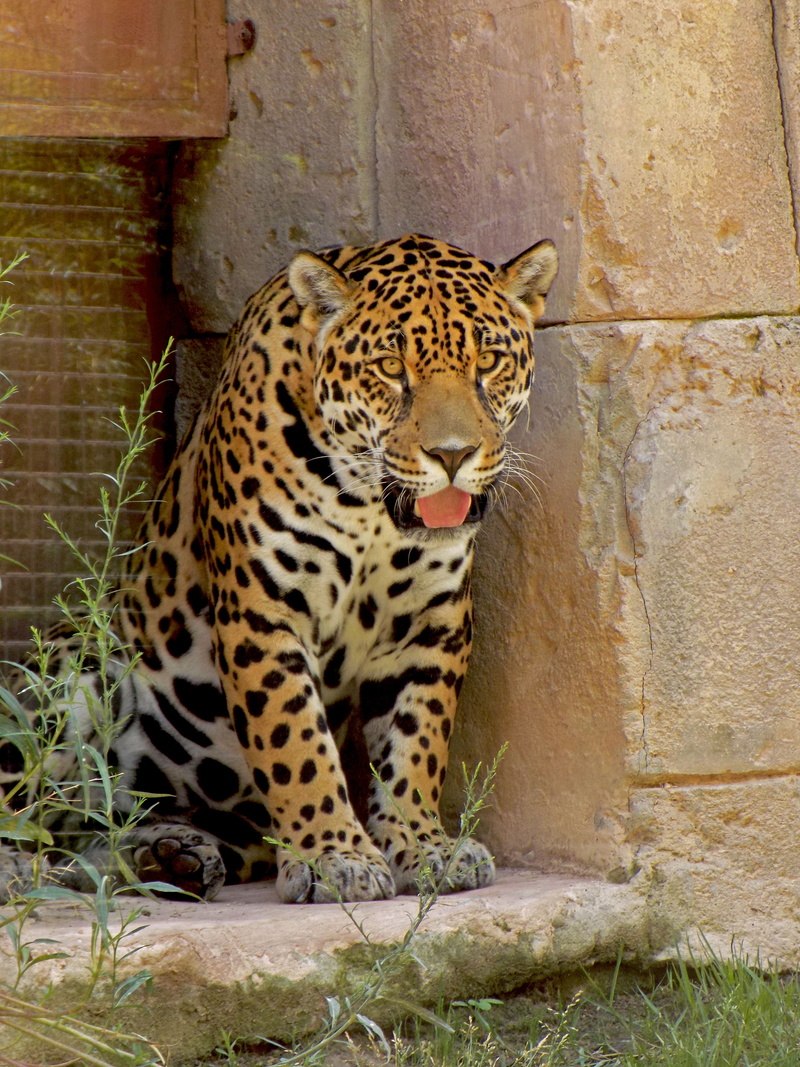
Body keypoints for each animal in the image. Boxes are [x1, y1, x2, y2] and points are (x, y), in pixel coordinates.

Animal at [0, 234, 558, 904]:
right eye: (390, 368)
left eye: (489, 362)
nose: (453, 456)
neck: (370, 507)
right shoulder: (262, 613)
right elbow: (297, 744)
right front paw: (334, 857)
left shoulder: (431, 623)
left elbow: (416, 745)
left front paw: (425, 846)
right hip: (69, 669)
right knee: (35, 815)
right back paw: (21, 867)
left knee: (84, 839)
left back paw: (171, 856)